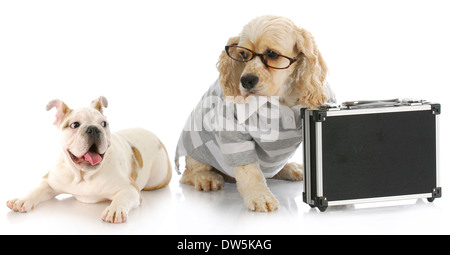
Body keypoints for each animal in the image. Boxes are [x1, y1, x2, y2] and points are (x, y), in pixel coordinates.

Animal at [7, 96, 172, 224]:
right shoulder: (49, 182)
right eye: (74, 125)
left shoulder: (130, 188)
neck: (83, 176)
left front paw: (114, 209)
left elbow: (122, 197)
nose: (93, 129)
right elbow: (36, 189)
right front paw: (22, 200)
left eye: (104, 124)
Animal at [175, 14, 334, 212]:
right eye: (243, 55)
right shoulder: (233, 131)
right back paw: (206, 178)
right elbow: (249, 171)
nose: (246, 81)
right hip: (195, 148)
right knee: (188, 173)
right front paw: (259, 196)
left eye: (272, 54)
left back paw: (291, 169)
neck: (281, 96)